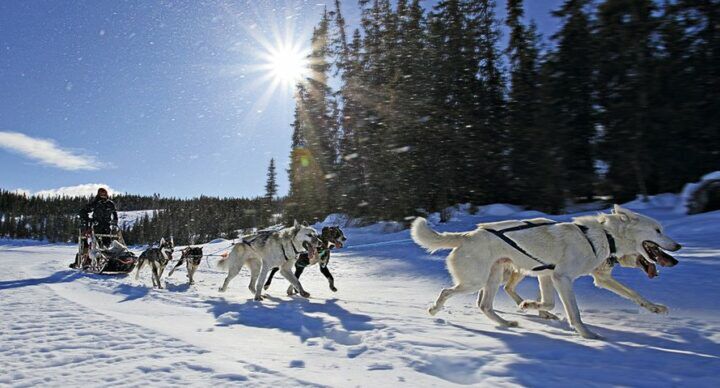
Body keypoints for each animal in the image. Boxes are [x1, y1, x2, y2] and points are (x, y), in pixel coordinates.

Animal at [410, 205, 680, 338]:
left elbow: (635, 295)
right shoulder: (562, 278)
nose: (678, 248)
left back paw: (508, 322)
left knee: (484, 305)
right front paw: (587, 334)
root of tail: (466, 236)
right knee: (447, 292)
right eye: (657, 230)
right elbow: (574, 313)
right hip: (475, 281)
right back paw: (434, 310)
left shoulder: (551, 275)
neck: (605, 236)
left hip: (493, 277)